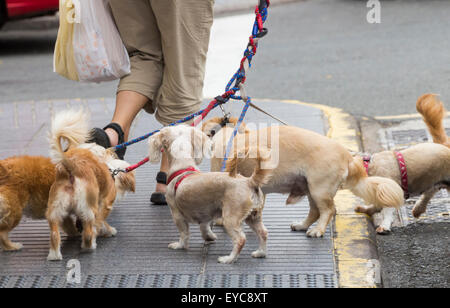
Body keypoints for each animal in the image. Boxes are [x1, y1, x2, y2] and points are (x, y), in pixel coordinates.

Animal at [47, 109, 136, 262]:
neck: (111, 170)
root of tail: (71, 168)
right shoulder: (104, 205)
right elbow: (100, 222)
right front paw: (108, 231)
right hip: (88, 209)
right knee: (89, 232)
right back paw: (90, 246)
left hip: (56, 208)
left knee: (54, 235)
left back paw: (54, 255)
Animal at [149, 124, 272, 264]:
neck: (183, 167)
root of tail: (249, 181)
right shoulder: (204, 214)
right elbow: (205, 228)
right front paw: (209, 237)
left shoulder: (176, 214)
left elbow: (184, 233)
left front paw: (180, 245)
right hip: (253, 217)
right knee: (263, 233)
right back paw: (261, 252)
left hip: (230, 218)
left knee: (240, 239)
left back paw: (229, 258)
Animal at [202, 119, 406, 237]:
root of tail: (347, 156)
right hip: (311, 190)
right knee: (315, 212)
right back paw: (301, 226)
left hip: (319, 189)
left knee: (329, 210)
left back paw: (317, 230)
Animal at [356, 94, 450, 233]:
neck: (369, 168)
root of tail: (445, 146)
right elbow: (376, 206)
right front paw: (366, 209)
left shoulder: (389, 191)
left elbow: (386, 210)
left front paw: (384, 226)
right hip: (434, 181)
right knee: (429, 193)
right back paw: (418, 209)